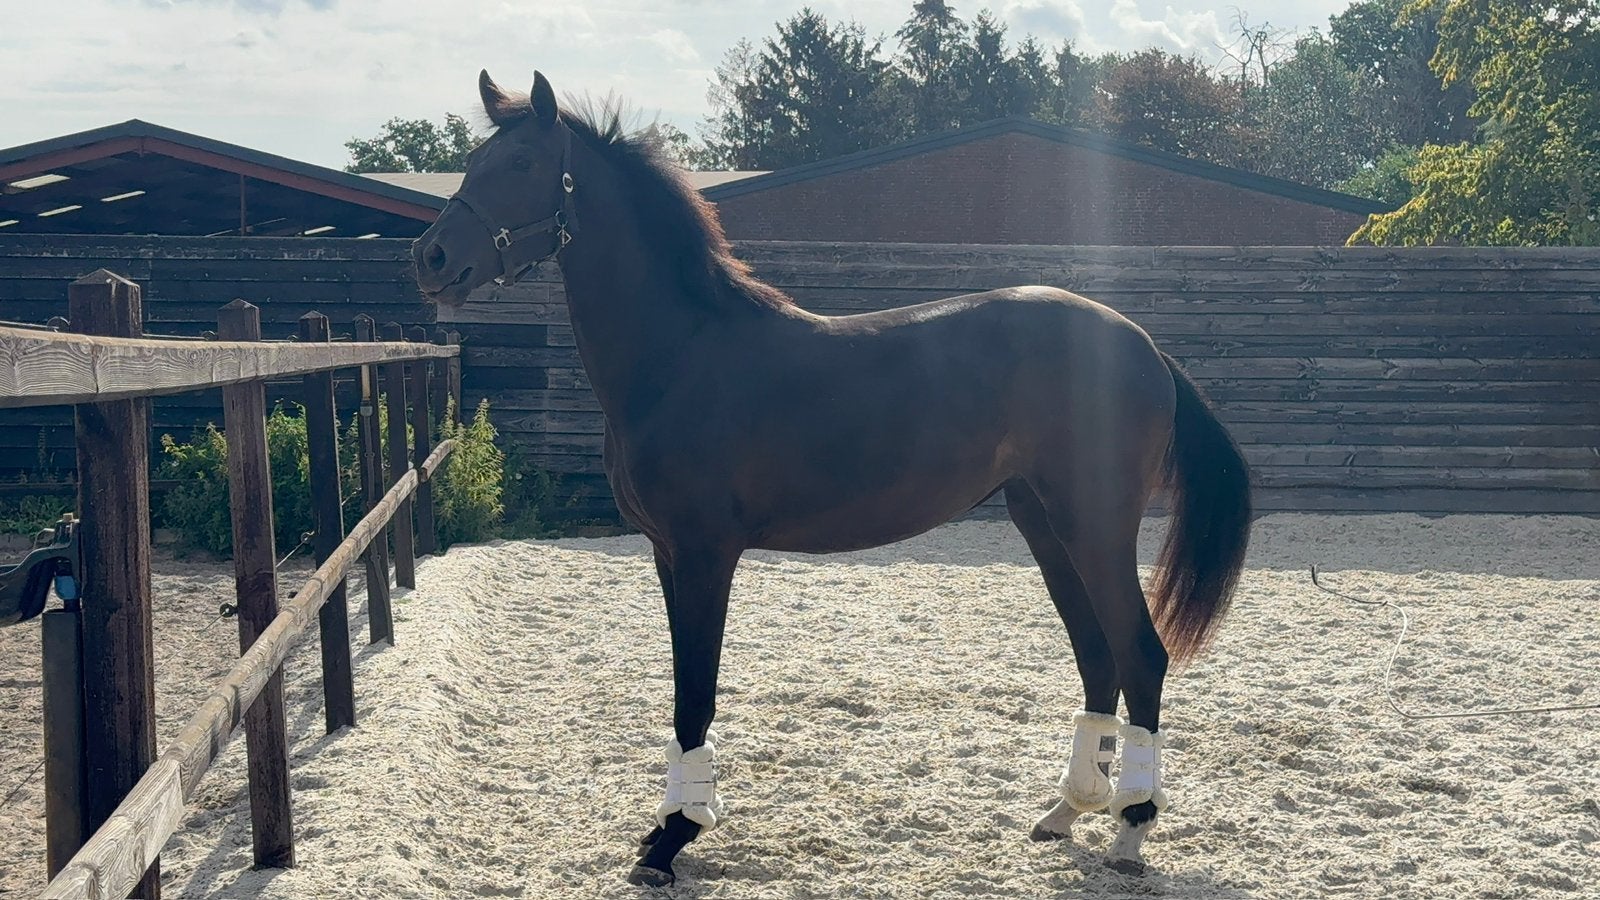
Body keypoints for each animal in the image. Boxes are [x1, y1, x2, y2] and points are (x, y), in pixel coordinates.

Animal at [411, 69, 1253, 888]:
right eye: (473, 161)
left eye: (522, 163)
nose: (431, 258)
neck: (683, 354)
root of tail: (1141, 345)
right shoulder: (665, 552)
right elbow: (684, 686)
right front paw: (667, 826)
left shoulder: (706, 553)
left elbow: (696, 692)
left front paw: (673, 837)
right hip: (1044, 522)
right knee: (1098, 656)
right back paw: (1068, 811)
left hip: (1094, 523)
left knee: (1140, 654)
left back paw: (1130, 832)